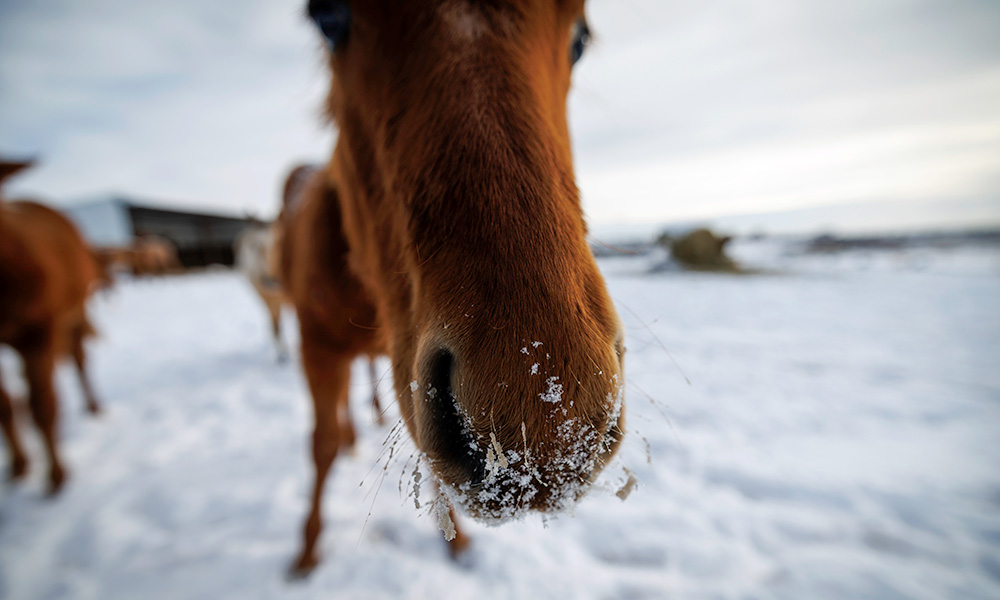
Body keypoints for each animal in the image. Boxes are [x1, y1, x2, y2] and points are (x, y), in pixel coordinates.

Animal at [0, 159, 104, 493]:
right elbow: (5, 405)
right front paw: (19, 466)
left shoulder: (41, 330)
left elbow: (42, 405)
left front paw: (57, 477)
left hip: (75, 311)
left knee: (79, 360)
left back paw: (94, 407)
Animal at [280, 1, 625, 575]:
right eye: (328, 19)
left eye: (579, 38)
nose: (547, 427)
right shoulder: (316, 346)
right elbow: (320, 446)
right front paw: (306, 551)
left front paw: (458, 546)